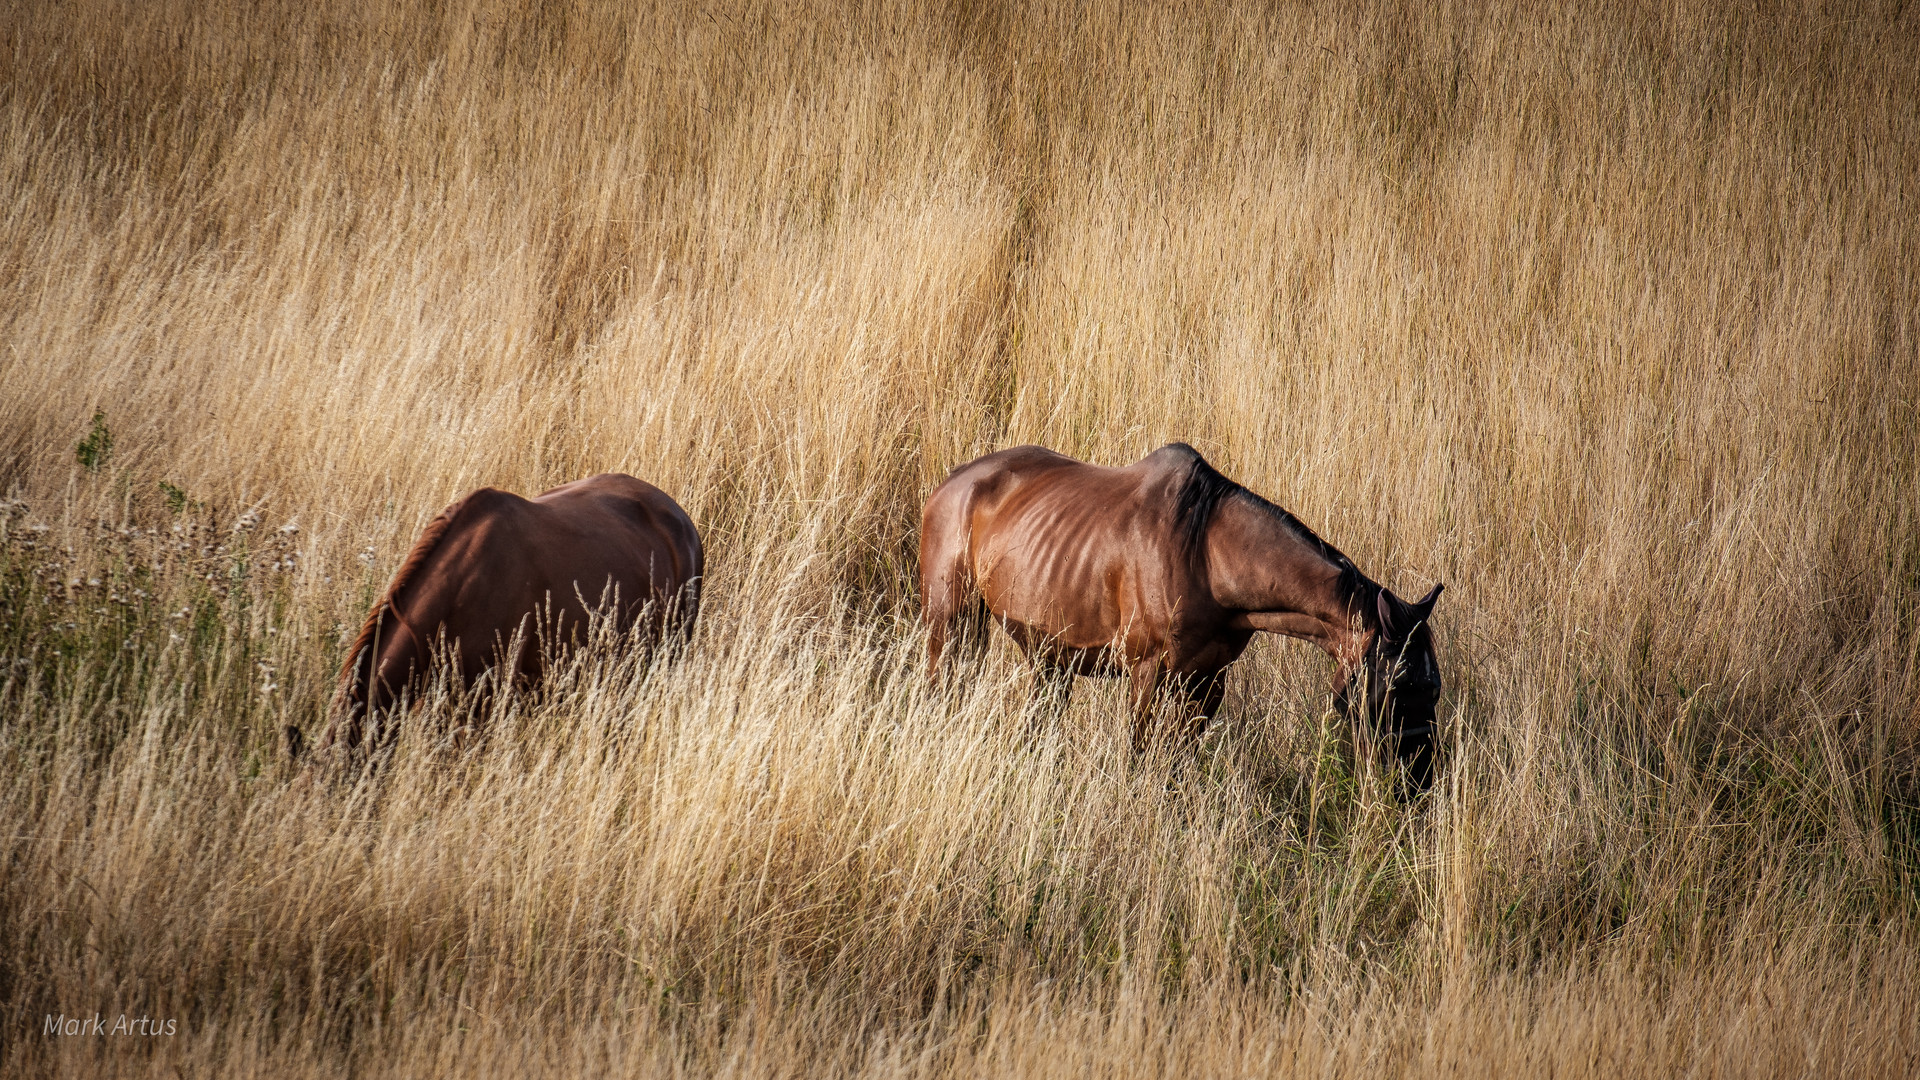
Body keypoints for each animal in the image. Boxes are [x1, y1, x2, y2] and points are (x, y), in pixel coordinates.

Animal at [917, 441, 1443, 787]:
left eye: (1434, 687)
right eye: (1397, 686)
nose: (1419, 781)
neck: (1206, 554)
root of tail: (952, 482)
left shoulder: (1207, 682)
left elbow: (1177, 764)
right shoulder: (1147, 674)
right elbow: (1140, 756)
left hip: (1049, 657)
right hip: (950, 626)